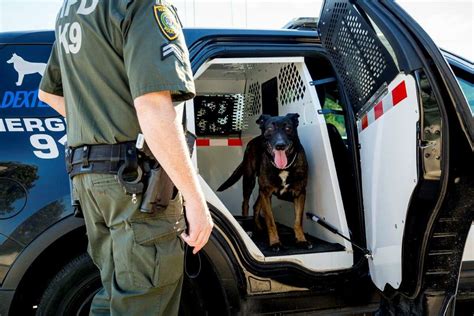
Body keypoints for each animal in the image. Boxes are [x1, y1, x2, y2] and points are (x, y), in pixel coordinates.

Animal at [218, 113, 312, 252]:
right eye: (270, 129)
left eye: (288, 128)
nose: (280, 145)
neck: (283, 168)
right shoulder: (266, 193)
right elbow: (271, 221)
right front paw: (275, 243)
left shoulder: (299, 193)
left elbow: (298, 221)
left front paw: (301, 240)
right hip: (249, 181)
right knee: (245, 204)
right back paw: (247, 228)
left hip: (261, 190)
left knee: (256, 206)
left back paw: (258, 227)